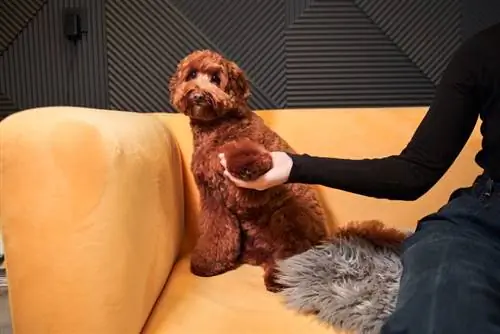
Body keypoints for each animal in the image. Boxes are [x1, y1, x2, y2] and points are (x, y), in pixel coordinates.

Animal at [169, 49, 328, 292]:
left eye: (215, 79)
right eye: (192, 74)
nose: (198, 95)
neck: (214, 127)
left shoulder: (250, 184)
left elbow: (245, 152)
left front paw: (247, 164)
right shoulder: (212, 198)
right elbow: (216, 230)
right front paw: (209, 263)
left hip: (287, 214)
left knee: (293, 250)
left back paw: (279, 277)